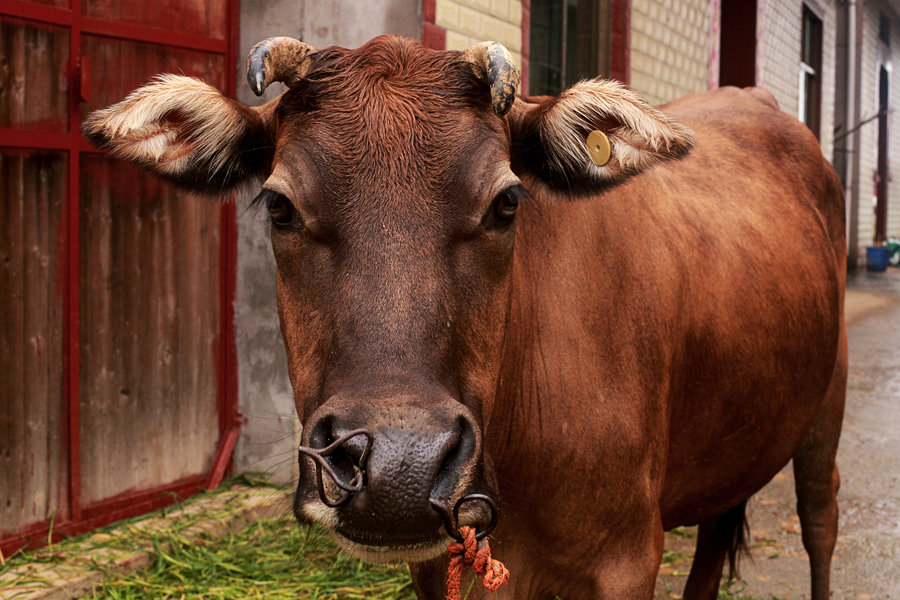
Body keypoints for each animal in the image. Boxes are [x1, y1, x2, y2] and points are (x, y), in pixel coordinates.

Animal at [82, 36, 844, 600]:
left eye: (507, 202)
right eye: (279, 205)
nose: (397, 467)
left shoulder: (628, 556)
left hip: (825, 406)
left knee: (820, 518)